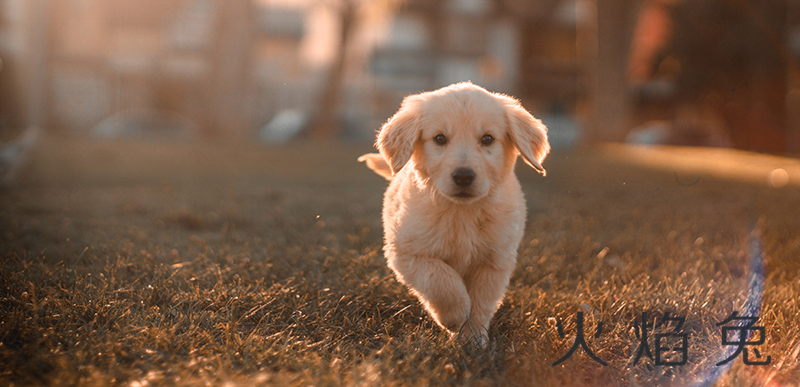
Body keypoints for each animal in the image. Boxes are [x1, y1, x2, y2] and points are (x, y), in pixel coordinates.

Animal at [358, 82, 552, 346]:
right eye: (440, 139)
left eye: (487, 139)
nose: (463, 176)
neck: (462, 212)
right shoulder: (407, 252)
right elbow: (441, 280)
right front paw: (456, 316)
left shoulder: (495, 261)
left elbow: (481, 301)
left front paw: (473, 338)